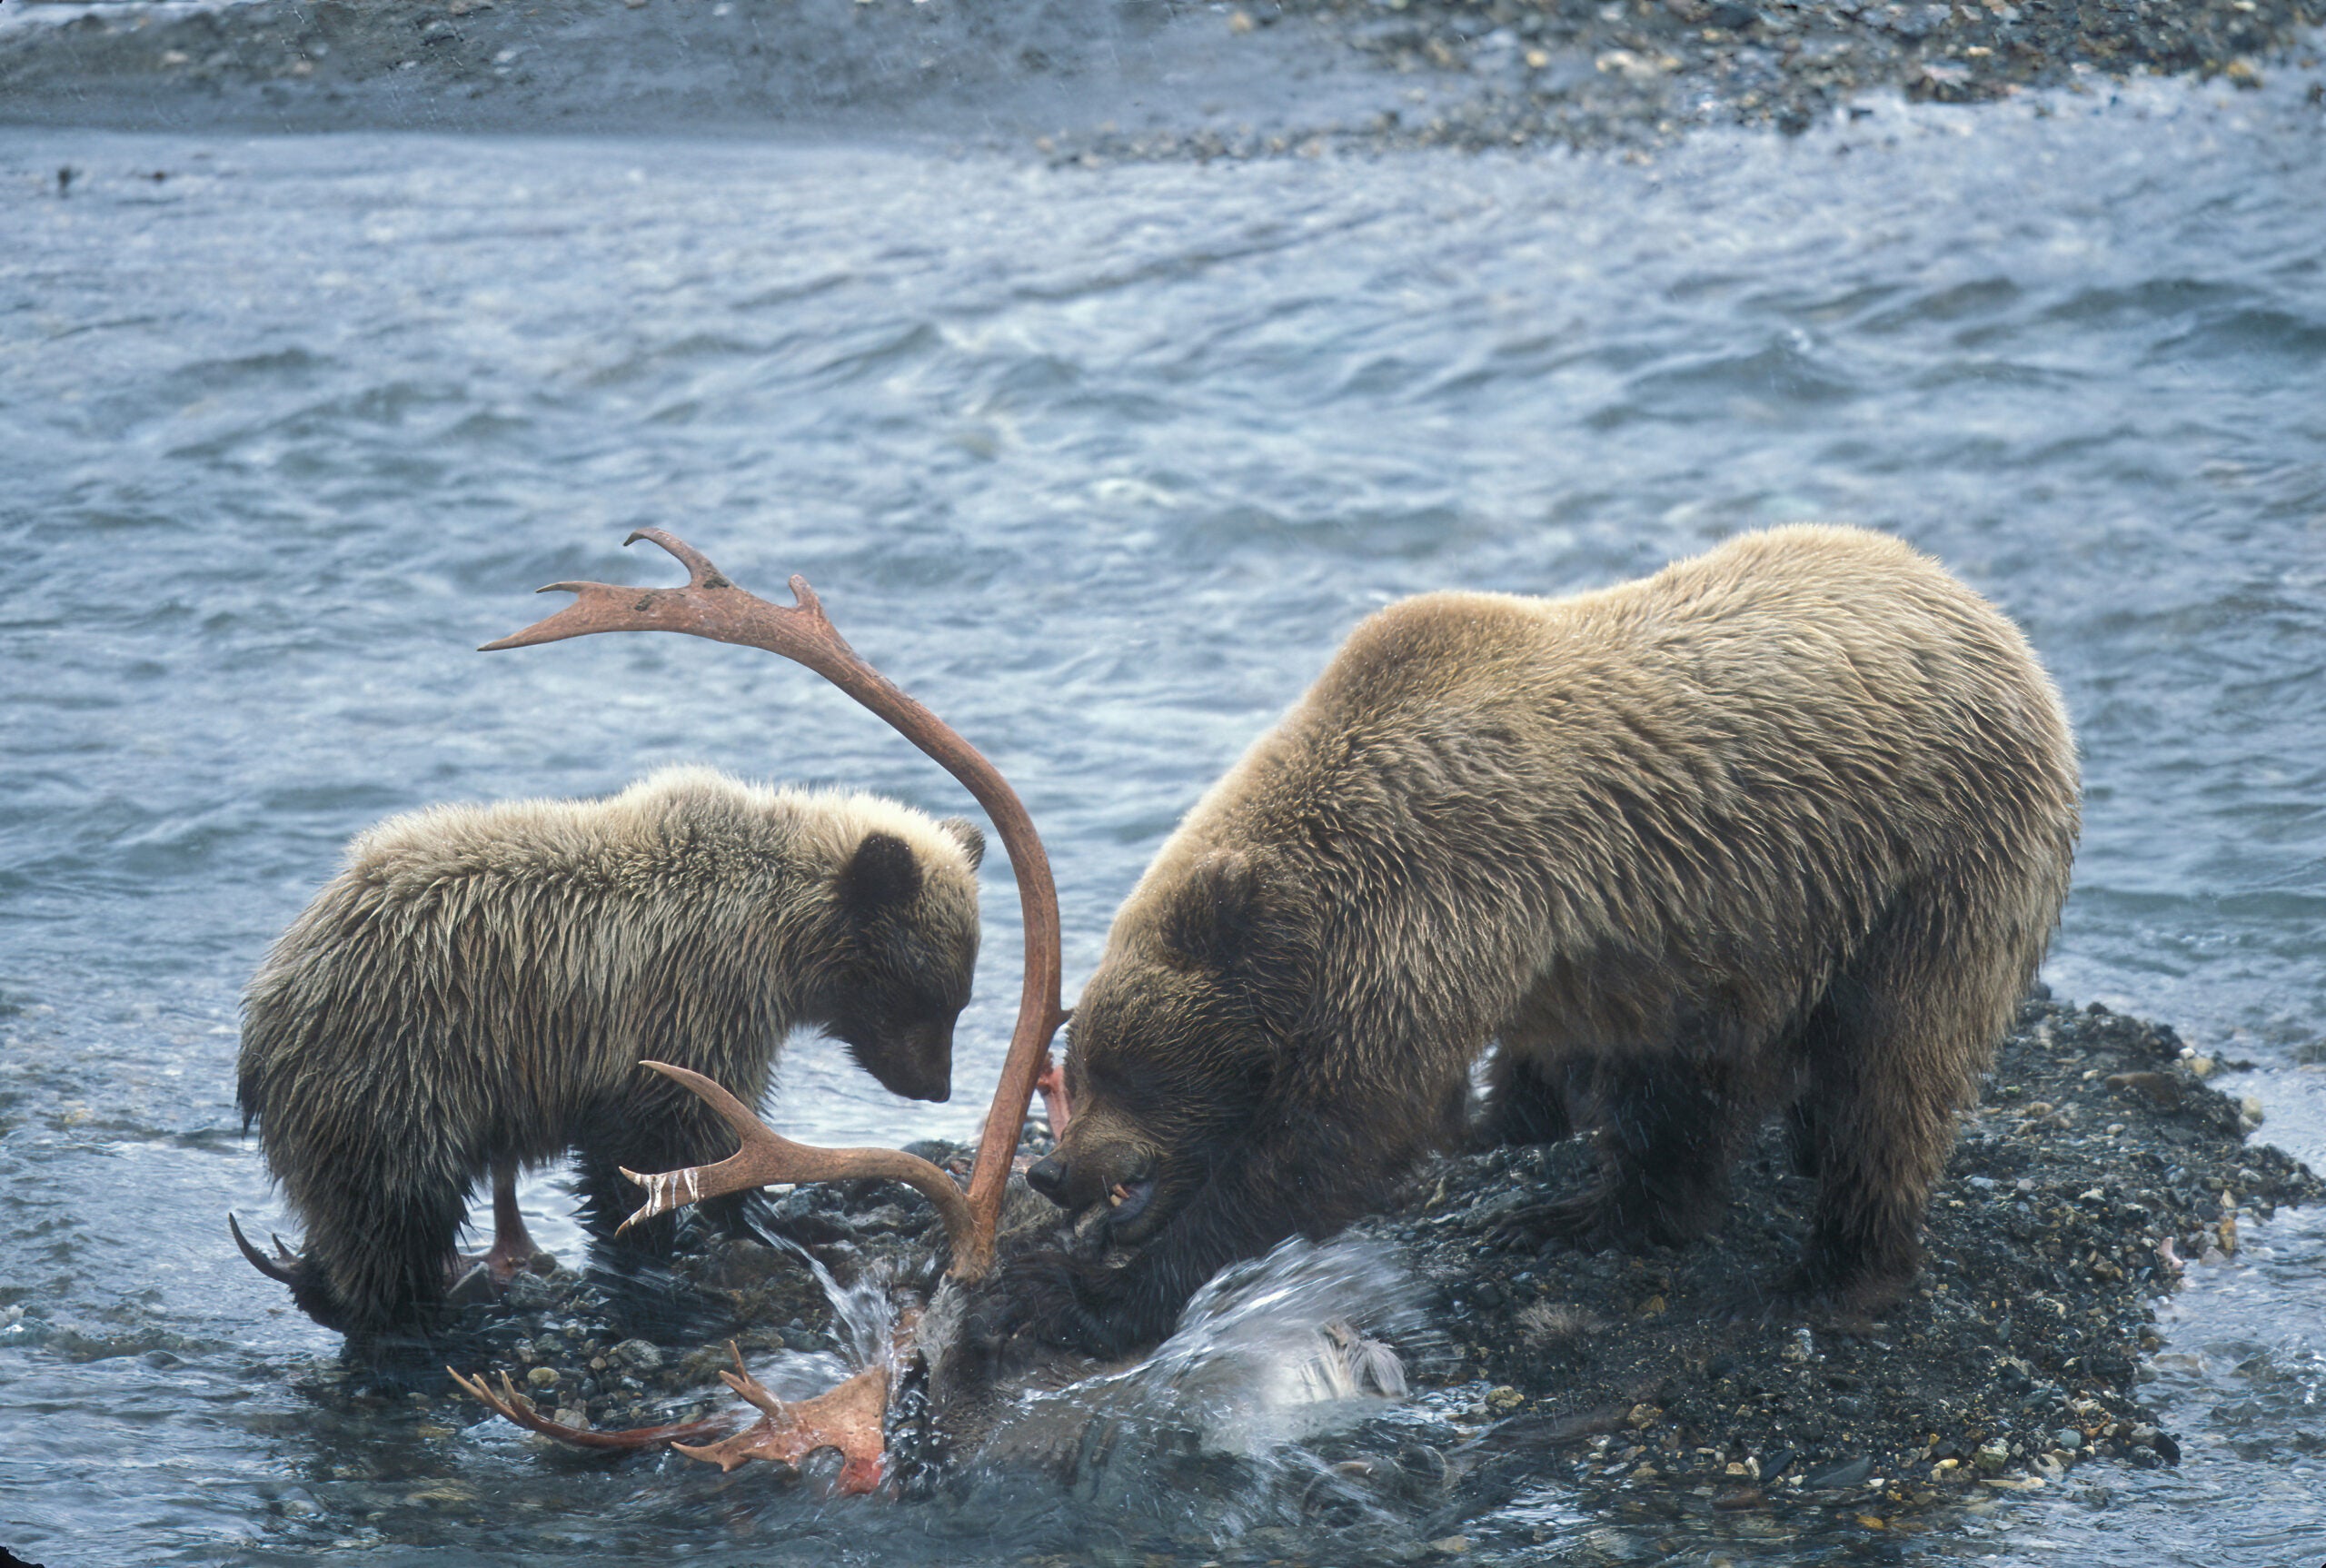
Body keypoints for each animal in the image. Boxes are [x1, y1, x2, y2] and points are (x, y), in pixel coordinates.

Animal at [236, 764, 985, 1337]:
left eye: (957, 998)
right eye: (925, 996)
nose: (937, 1085)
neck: (777, 937)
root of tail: (273, 980)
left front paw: (767, 1213)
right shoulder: (682, 1003)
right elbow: (648, 1145)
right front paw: (662, 1266)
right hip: (400, 1064)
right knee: (391, 1210)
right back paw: (416, 1314)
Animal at [1006, 525, 2079, 1356]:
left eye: (1122, 1065)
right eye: (1079, 1058)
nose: (1052, 1173)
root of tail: (1996, 622)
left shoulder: (1442, 899)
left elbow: (1333, 1139)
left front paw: (1089, 1291)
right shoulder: (1555, 940)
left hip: (1930, 868)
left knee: (1891, 1073)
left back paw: (1835, 1271)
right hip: (1756, 919)